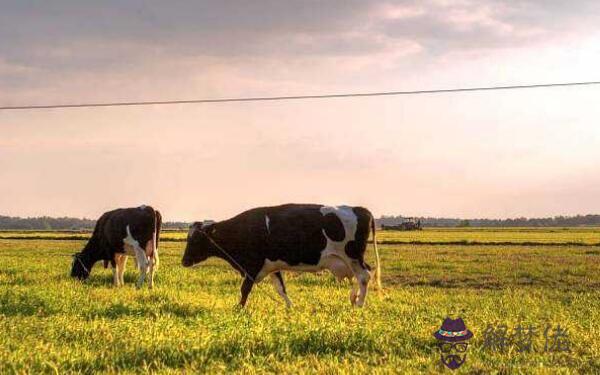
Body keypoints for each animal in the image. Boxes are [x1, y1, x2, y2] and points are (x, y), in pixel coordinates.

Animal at [180, 206, 382, 308]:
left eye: (196, 239)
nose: (184, 261)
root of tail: (360, 209)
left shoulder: (253, 266)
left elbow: (244, 289)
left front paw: (239, 308)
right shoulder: (271, 266)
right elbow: (281, 289)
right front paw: (290, 307)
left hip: (352, 256)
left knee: (364, 276)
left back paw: (359, 303)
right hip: (349, 260)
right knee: (363, 274)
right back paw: (354, 297)